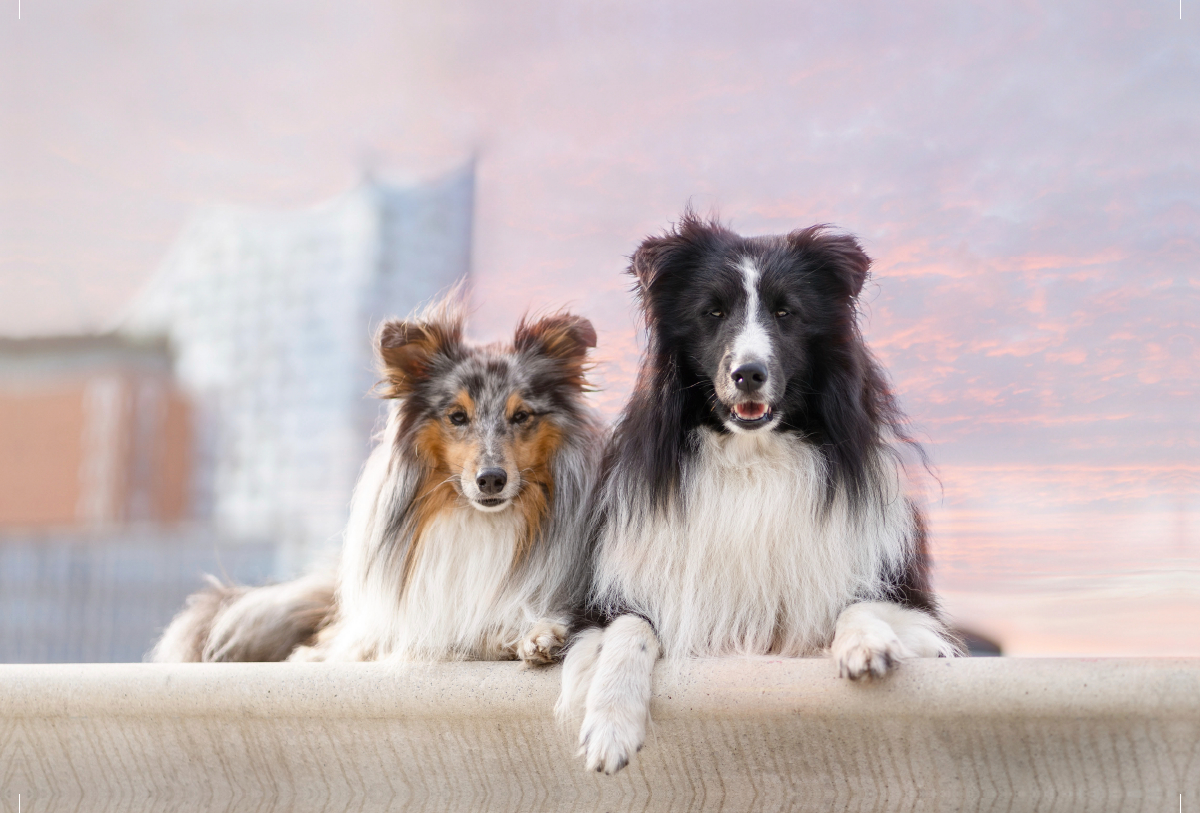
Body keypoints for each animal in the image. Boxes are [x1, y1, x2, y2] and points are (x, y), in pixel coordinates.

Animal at [556, 217, 960, 777]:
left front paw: (867, 643)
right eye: (713, 312)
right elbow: (630, 627)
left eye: (787, 312)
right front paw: (611, 726)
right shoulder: (603, 605)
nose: (748, 373)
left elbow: (857, 605)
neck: (753, 459)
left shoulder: (914, 608)